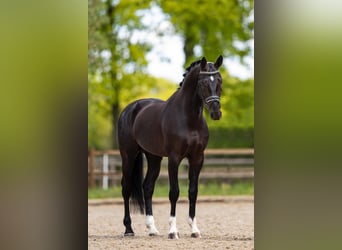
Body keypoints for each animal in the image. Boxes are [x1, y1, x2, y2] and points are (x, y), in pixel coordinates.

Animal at [119, 54, 223, 238]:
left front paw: (194, 230)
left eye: (220, 81)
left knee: (147, 187)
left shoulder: (197, 158)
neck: (189, 119)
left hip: (154, 157)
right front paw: (173, 231)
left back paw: (152, 229)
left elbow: (193, 192)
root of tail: (129, 109)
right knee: (126, 188)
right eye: (203, 82)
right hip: (128, 155)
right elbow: (174, 192)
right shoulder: (174, 158)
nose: (216, 113)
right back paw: (129, 229)